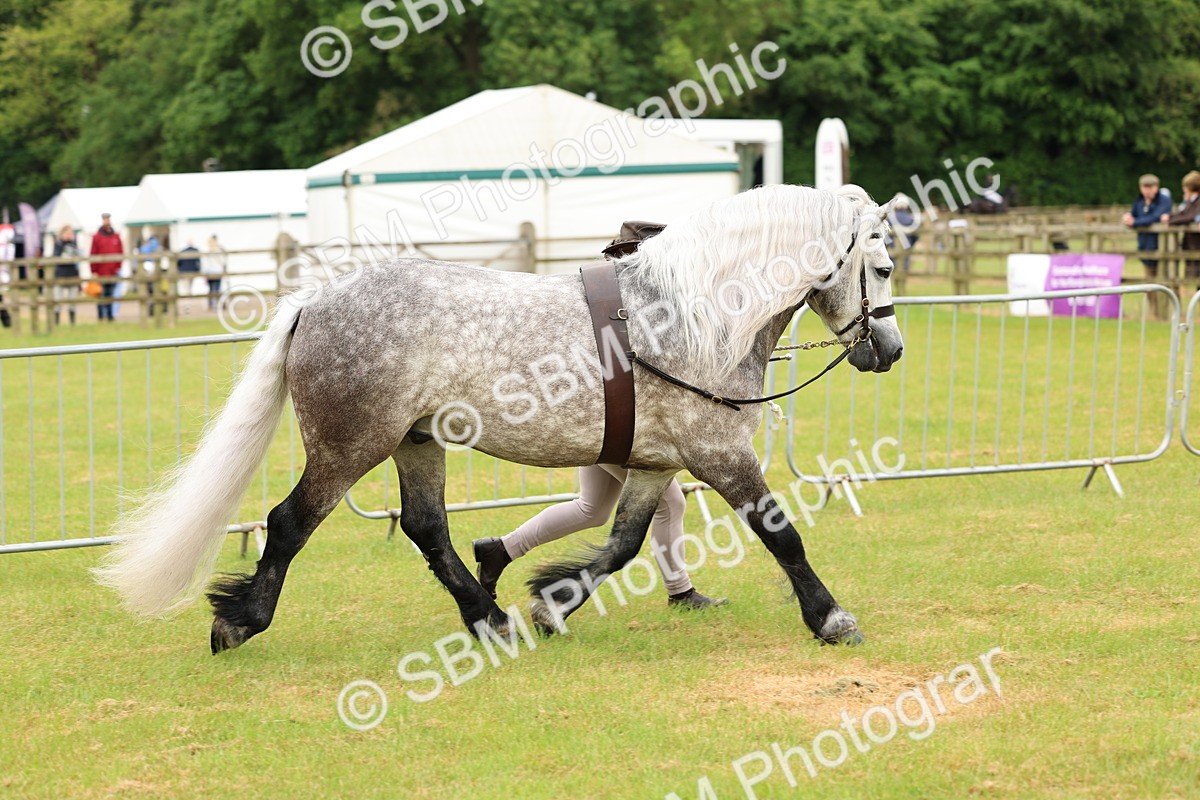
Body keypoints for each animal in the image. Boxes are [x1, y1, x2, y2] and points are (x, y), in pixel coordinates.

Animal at [93, 183, 904, 654]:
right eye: (885, 266)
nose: (889, 350)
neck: (692, 314)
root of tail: (316, 300)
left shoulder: (655, 463)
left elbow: (623, 545)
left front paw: (552, 604)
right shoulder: (720, 455)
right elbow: (782, 535)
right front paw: (831, 618)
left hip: (416, 443)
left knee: (428, 528)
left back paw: (489, 617)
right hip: (350, 447)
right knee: (289, 523)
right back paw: (240, 620)